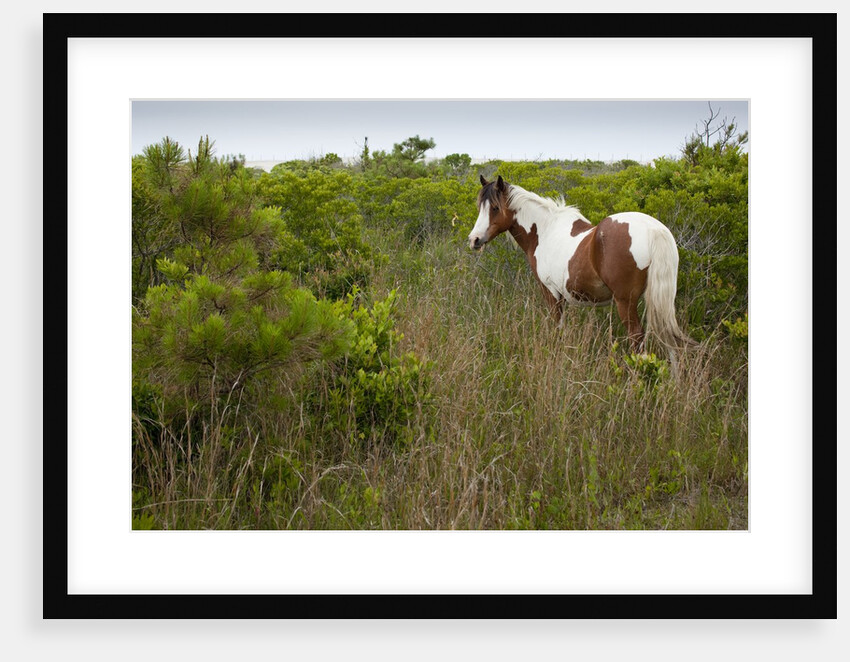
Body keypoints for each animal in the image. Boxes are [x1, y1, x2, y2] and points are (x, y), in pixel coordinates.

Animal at [468, 175, 694, 362]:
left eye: (495, 208)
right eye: (480, 207)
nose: (474, 240)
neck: (544, 231)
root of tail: (654, 229)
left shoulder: (551, 293)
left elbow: (557, 328)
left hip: (625, 302)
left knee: (637, 339)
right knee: (670, 340)